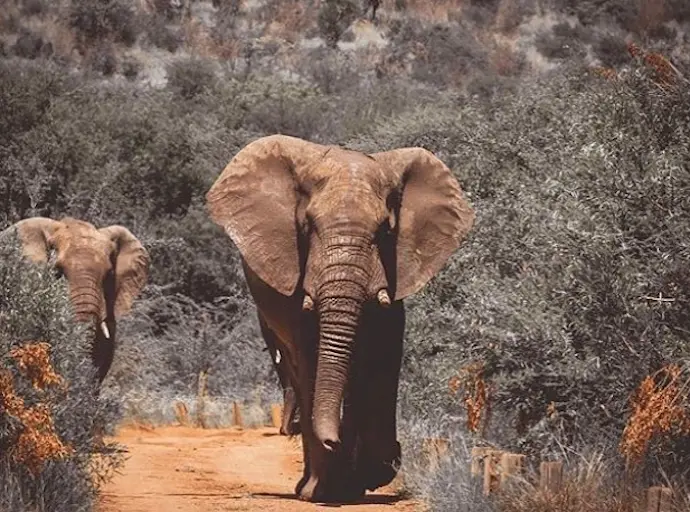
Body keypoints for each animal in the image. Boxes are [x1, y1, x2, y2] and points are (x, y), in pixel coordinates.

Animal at [205, 134, 474, 503]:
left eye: (385, 231)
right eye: (308, 226)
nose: (333, 439)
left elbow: (382, 355)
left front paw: (369, 475)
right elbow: (312, 357)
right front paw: (327, 490)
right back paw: (309, 485)